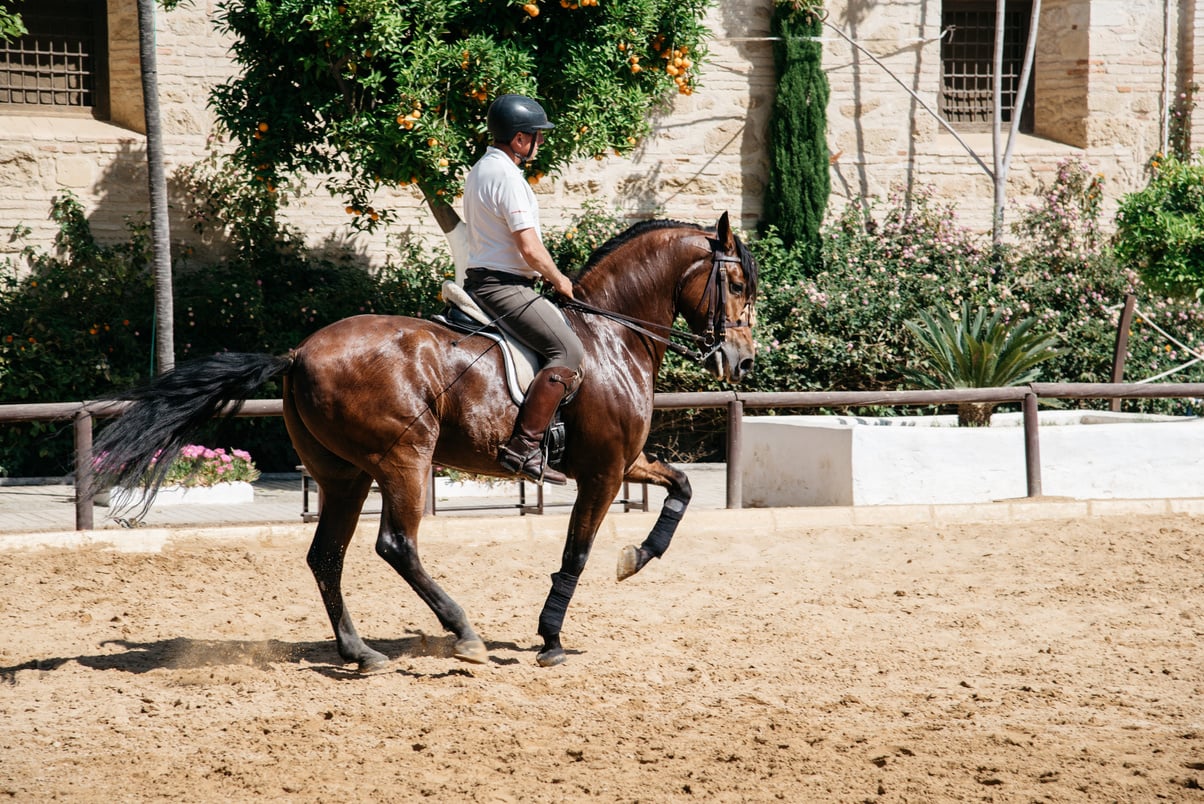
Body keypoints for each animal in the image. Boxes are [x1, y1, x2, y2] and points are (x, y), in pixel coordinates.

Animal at [93, 211, 756, 664]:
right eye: (738, 287)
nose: (742, 361)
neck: (611, 337)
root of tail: (298, 353)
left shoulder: (626, 461)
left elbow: (683, 486)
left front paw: (638, 557)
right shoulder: (604, 470)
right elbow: (576, 553)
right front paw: (551, 638)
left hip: (344, 475)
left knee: (326, 555)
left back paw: (360, 652)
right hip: (404, 459)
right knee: (396, 546)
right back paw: (463, 634)